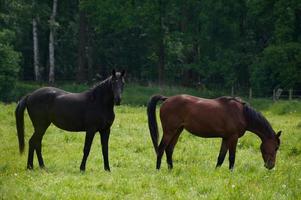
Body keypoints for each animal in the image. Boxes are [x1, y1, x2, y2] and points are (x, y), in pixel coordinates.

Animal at [146, 95, 280, 170]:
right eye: (276, 147)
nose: (271, 166)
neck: (242, 114)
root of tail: (167, 99)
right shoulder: (233, 137)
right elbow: (232, 157)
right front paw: (231, 173)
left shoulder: (226, 138)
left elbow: (221, 157)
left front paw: (217, 172)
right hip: (169, 131)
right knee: (161, 149)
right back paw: (158, 170)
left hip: (177, 131)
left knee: (169, 149)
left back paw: (171, 169)